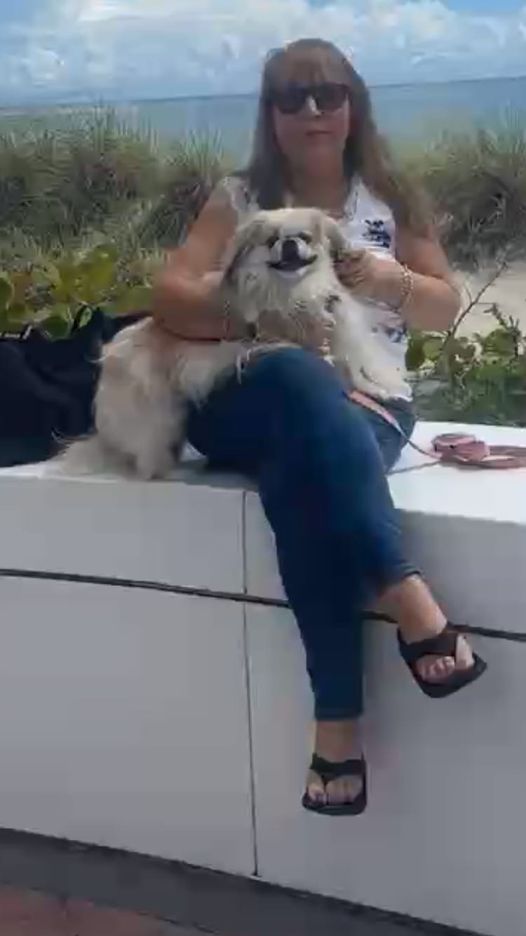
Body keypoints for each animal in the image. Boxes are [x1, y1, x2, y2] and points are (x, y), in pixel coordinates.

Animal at [61, 207, 407, 479]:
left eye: (305, 238)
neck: (295, 289)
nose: (289, 243)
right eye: (271, 241)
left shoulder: (339, 329)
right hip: (157, 413)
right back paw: (163, 471)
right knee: (147, 454)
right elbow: (327, 361)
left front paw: (384, 390)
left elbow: (360, 367)